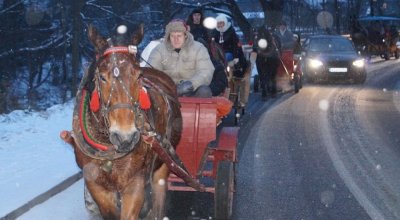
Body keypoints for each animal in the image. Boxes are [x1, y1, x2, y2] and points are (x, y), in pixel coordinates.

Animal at [61, 24, 183, 219]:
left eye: (138, 76)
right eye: (102, 77)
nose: (125, 137)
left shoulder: (135, 183)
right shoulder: (95, 184)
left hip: (164, 163)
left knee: (158, 201)